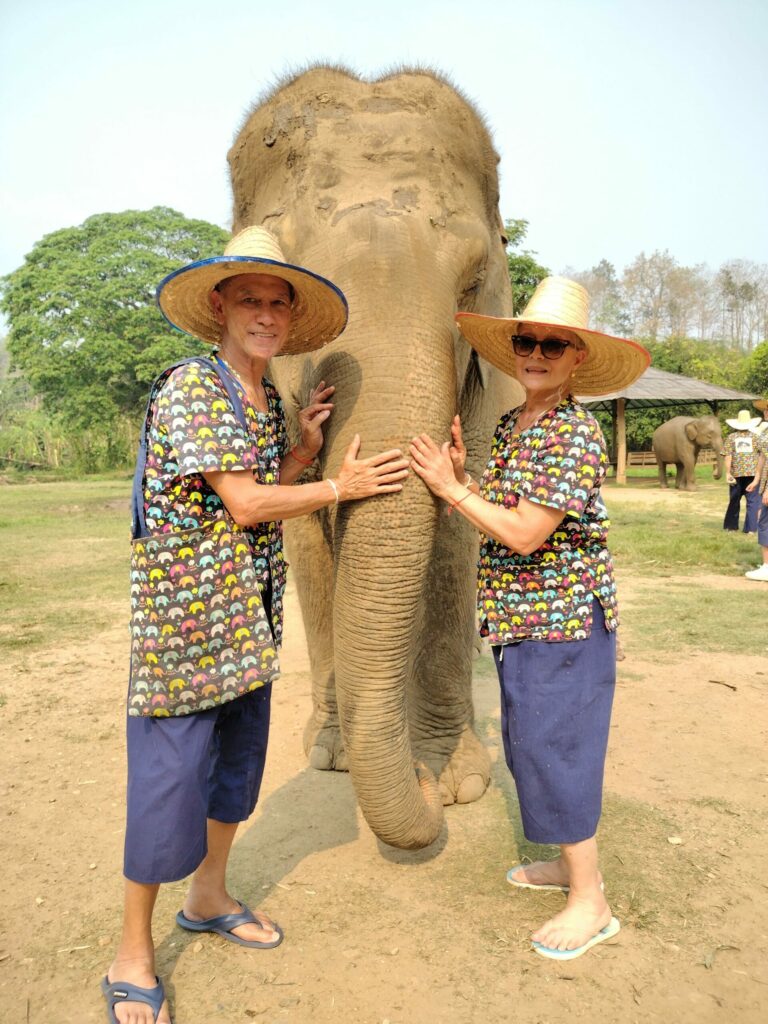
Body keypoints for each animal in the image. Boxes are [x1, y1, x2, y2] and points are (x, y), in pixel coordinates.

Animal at [228, 66, 528, 847]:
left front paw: (455, 782)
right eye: (286, 292)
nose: (418, 782)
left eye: (473, 281)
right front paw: (332, 755)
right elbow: (305, 540)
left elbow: (457, 534)